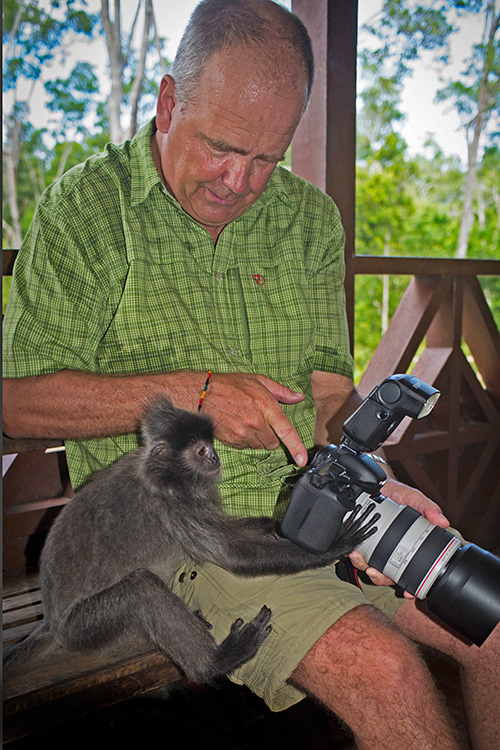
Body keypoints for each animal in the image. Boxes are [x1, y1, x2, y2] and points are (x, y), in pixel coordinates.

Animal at [4, 397, 376, 684]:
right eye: (200, 451)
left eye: (210, 447)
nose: (215, 458)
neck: (165, 476)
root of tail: (52, 623)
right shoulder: (173, 507)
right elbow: (233, 554)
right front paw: (333, 546)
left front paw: (278, 526)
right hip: (85, 629)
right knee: (141, 589)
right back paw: (216, 661)